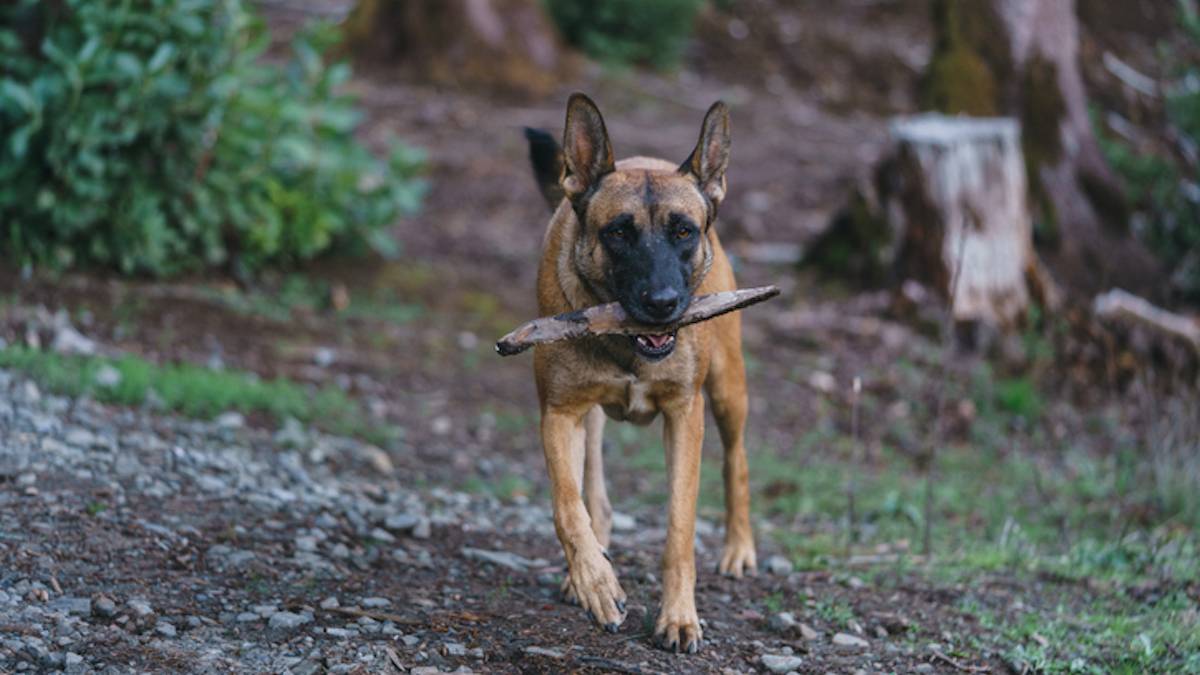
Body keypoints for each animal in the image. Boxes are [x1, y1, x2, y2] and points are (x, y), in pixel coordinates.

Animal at [523, 94, 753, 653]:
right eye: (619, 233)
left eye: (684, 231)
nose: (663, 304)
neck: (627, 343)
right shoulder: (560, 413)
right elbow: (569, 506)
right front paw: (595, 583)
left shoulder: (685, 415)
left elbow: (679, 528)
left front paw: (679, 617)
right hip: (591, 416)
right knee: (595, 497)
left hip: (727, 389)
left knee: (736, 460)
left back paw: (739, 548)